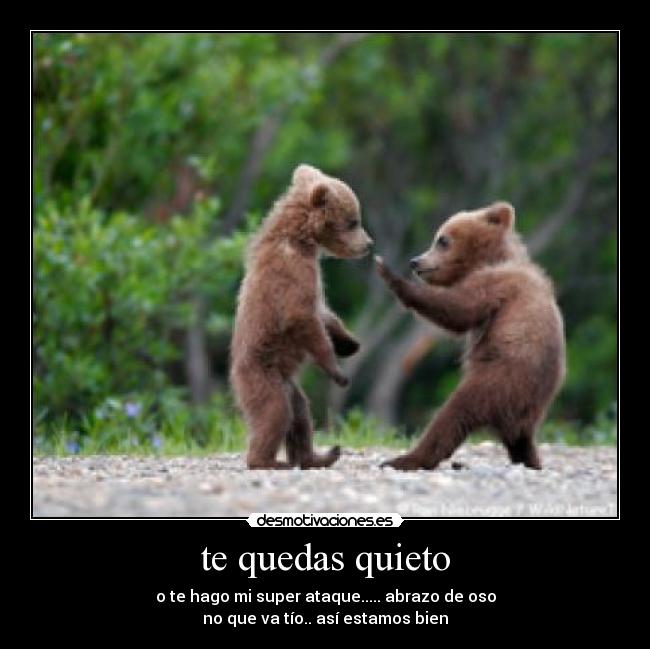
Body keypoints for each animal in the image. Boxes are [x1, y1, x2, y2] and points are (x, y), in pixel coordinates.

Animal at [230, 164, 373, 469]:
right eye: (353, 221)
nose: (369, 244)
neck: (301, 239)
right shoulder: (292, 271)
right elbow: (301, 317)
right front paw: (338, 372)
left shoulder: (312, 276)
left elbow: (324, 312)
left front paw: (349, 343)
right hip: (262, 375)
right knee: (275, 413)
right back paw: (269, 461)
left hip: (288, 384)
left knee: (300, 414)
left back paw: (319, 456)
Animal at [375, 201, 565, 471]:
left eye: (442, 240)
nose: (415, 261)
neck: (490, 259)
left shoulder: (497, 284)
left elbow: (458, 309)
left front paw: (388, 272)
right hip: (525, 405)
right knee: (520, 440)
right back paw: (530, 460)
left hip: (498, 380)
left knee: (453, 414)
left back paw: (405, 459)